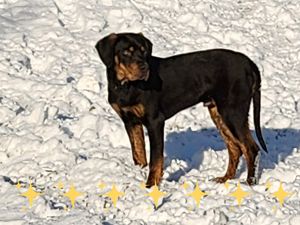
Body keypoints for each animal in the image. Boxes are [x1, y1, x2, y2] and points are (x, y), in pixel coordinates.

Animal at [95, 32, 268, 187]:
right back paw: (224, 179)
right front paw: (140, 173)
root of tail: (250, 64)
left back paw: (249, 183)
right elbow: (138, 153)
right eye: (126, 52)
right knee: (235, 148)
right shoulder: (130, 121)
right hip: (218, 112)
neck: (126, 86)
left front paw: (151, 186)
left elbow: (155, 159)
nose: (145, 68)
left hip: (233, 112)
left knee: (251, 149)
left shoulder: (155, 121)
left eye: (144, 51)